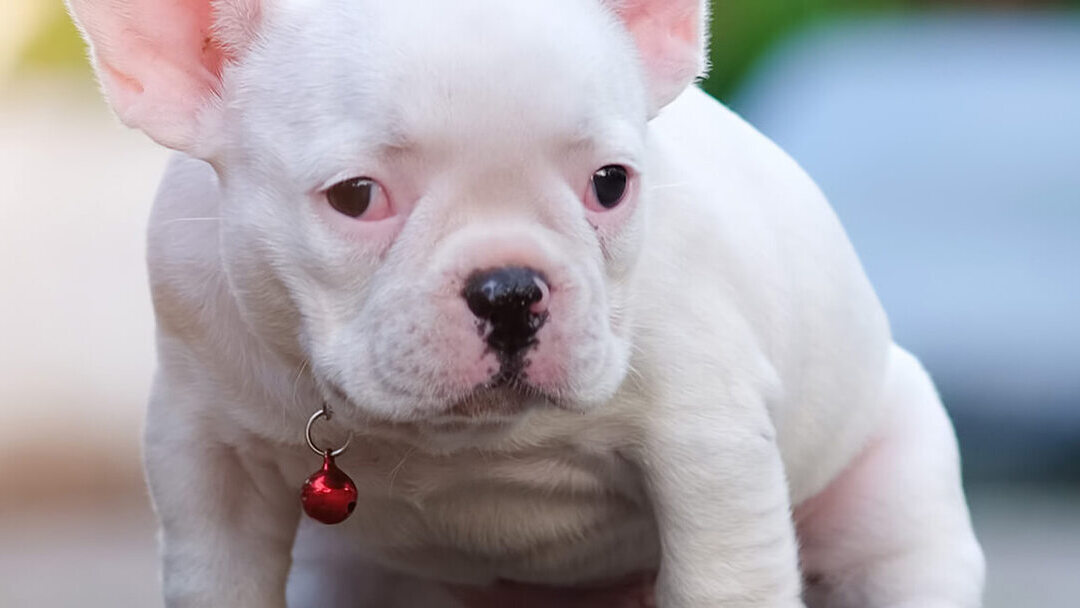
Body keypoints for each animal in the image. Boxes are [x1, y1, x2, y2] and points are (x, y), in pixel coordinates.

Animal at [67, 1, 989, 608]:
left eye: (611, 184)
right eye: (356, 197)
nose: (509, 289)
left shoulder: (708, 452)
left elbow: (724, 575)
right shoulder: (205, 457)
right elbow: (218, 576)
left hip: (896, 503)